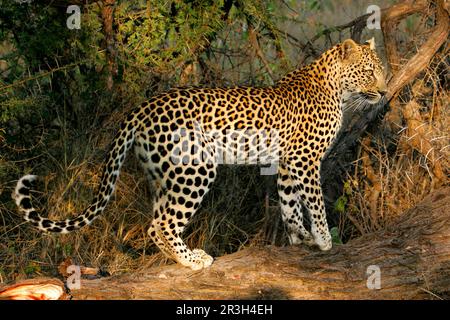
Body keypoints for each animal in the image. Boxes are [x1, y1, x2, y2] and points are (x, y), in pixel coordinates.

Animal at [13, 38, 386, 270]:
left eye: (381, 71)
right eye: (370, 72)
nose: (384, 91)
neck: (337, 89)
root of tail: (142, 107)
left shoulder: (286, 161)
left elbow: (289, 203)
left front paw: (300, 239)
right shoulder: (304, 160)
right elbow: (314, 202)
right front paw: (323, 240)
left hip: (165, 174)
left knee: (155, 223)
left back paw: (184, 256)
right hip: (196, 167)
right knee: (162, 223)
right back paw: (192, 261)